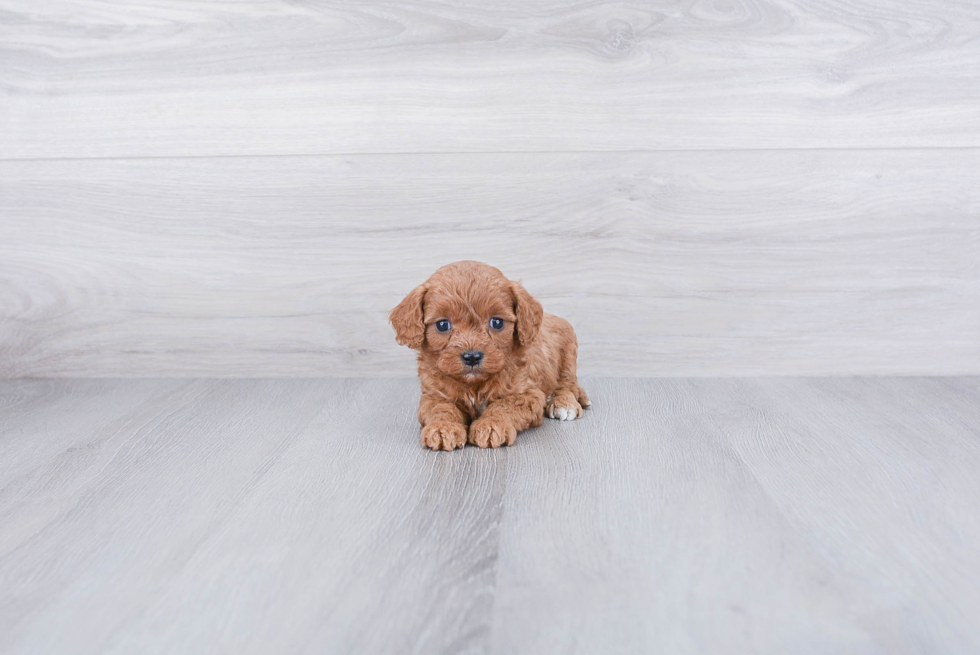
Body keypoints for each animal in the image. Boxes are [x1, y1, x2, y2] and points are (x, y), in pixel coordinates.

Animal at [390, 262, 588, 452]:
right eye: (442, 325)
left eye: (497, 322)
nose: (472, 357)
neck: (474, 385)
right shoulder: (434, 396)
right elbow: (442, 409)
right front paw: (443, 428)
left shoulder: (526, 395)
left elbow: (503, 405)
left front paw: (491, 425)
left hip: (568, 357)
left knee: (567, 385)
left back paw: (564, 403)